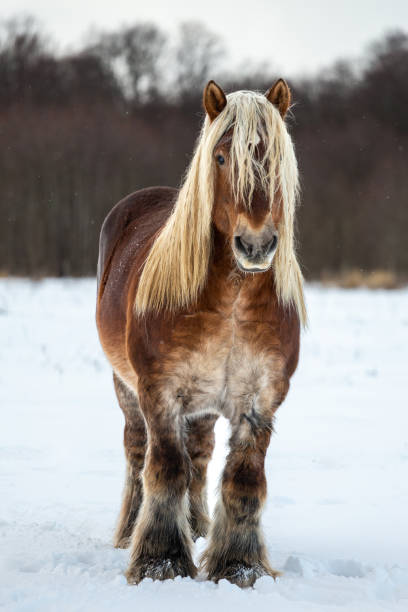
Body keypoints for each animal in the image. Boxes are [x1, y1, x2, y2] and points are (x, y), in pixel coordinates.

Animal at [95, 79, 306, 584]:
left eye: (276, 158)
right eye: (222, 157)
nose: (255, 244)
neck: (233, 302)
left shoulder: (260, 400)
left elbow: (243, 479)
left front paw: (239, 565)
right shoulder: (159, 391)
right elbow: (166, 470)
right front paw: (161, 561)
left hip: (204, 405)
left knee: (201, 456)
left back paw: (197, 527)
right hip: (126, 388)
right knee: (138, 454)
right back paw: (131, 532)